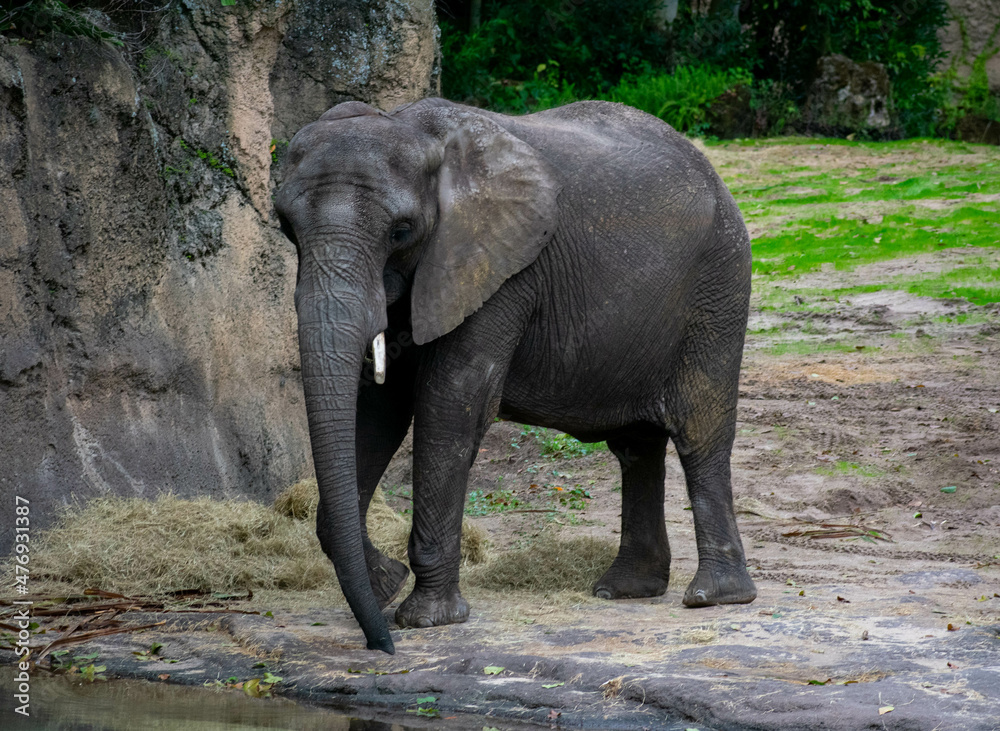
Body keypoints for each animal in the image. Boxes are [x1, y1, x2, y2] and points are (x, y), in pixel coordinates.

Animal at [274, 98, 756, 654]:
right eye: (286, 228)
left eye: (401, 231)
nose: (382, 647)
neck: (416, 130)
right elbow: (377, 410)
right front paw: (384, 586)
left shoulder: (502, 270)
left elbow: (450, 402)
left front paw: (425, 619)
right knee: (637, 447)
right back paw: (624, 589)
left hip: (719, 284)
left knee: (700, 431)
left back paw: (714, 596)